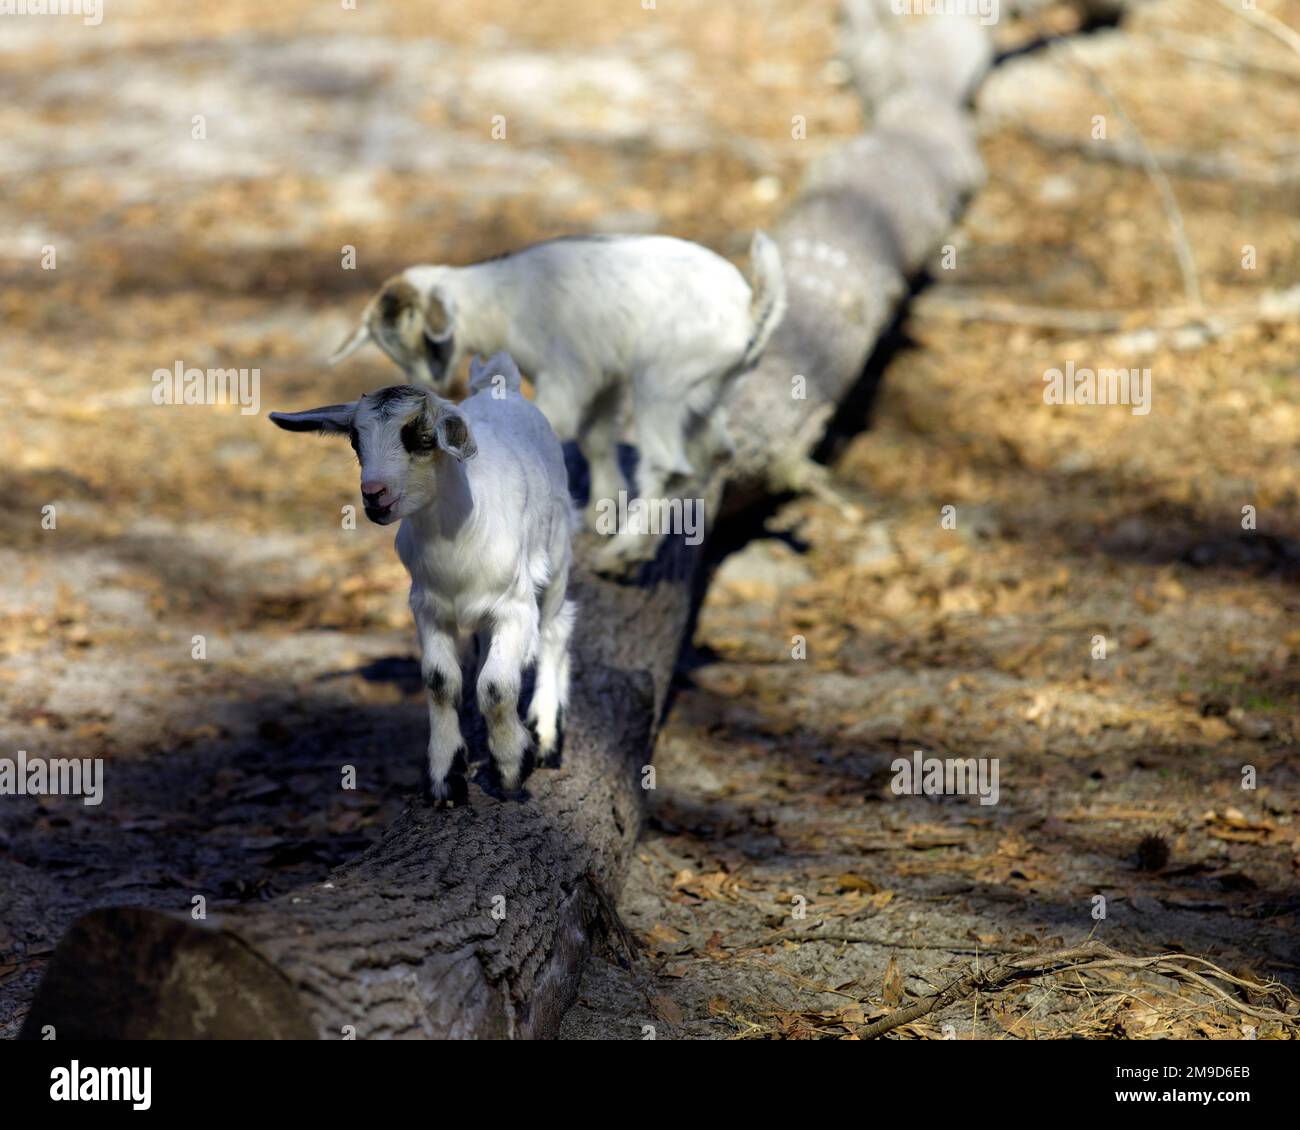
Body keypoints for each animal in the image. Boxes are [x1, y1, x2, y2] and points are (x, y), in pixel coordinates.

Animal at [271, 353, 577, 801]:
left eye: (421, 436)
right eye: (355, 441)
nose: (373, 494)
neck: (457, 536)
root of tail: (500, 385)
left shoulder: (515, 606)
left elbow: (495, 687)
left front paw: (510, 767)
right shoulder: (427, 605)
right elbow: (440, 681)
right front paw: (446, 776)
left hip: (555, 556)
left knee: (557, 628)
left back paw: (547, 734)